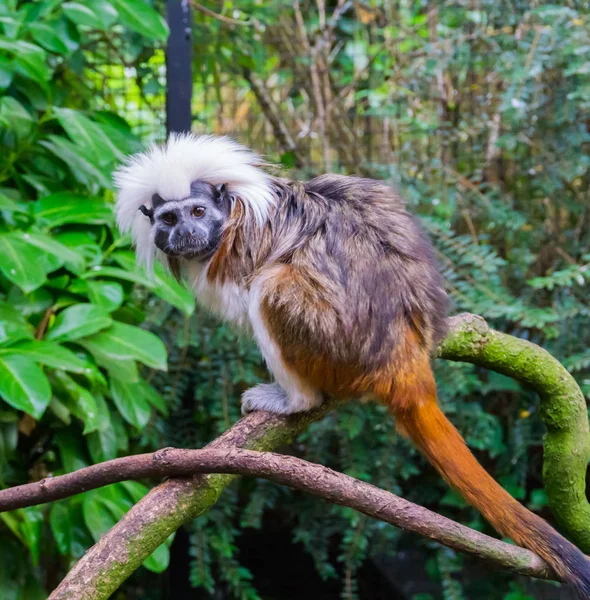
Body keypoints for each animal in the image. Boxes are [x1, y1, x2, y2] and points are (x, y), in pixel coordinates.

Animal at [115, 131, 590, 596]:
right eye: (169, 219)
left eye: (197, 211)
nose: (186, 232)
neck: (231, 215)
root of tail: (403, 365)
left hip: (332, 344)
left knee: (273, 285)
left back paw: (293, 398)